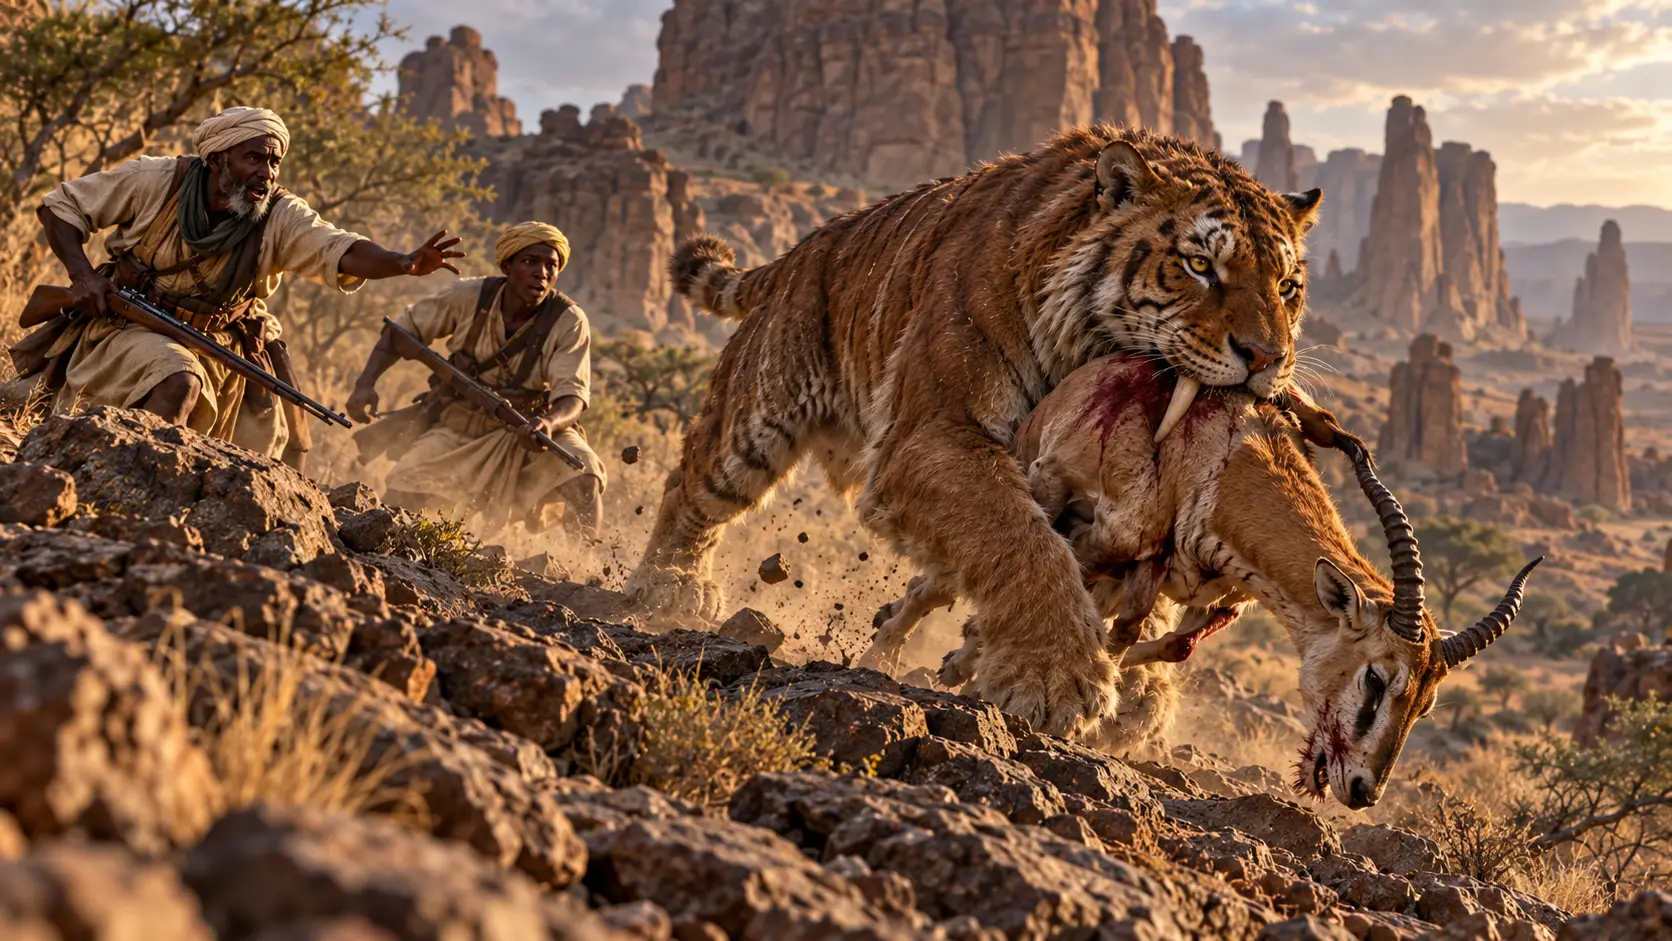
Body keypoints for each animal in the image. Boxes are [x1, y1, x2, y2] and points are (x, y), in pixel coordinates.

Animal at [626, 124, 1330, 738]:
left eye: (1288, 286)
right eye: (1199, 265)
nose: (1267, 357)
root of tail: (807, 246)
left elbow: (1133, 580)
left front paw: (1137, 695)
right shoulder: (932, 433)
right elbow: (1017, 538)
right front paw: (1054, 678)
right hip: (758, 412)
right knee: (689, 487)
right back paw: (669, 588)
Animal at [863, 354, 1539, 809]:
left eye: (1424, 704)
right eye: (1377, 677)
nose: (1362, 790)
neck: (1224, 454)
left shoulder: (1180, 586)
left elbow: (1154, 642)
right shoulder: (1103, 536)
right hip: (1040, 488)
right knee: (947, 576)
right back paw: (885, 652)